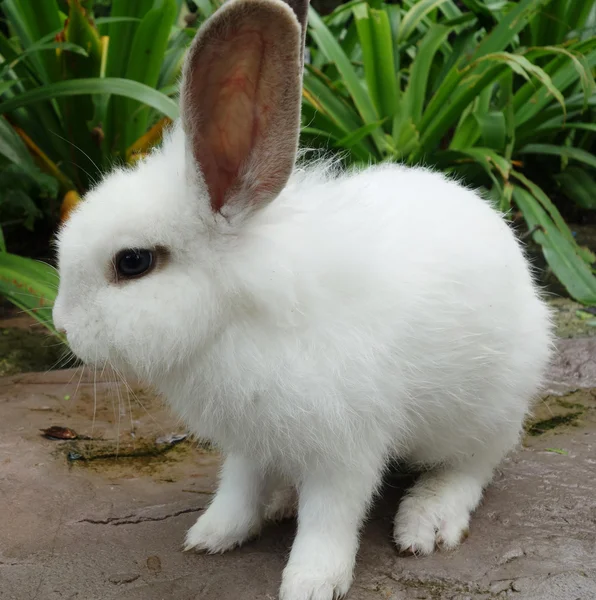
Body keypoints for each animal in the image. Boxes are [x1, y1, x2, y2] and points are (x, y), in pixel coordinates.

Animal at [51, 0, 556, 596]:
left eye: (132, 262)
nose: (61, 325)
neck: (235, 319)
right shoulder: (247, 443)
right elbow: (238, 488)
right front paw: (214, 535)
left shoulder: (344, 448)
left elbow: (330, 518)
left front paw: (310, 582)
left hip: (483, 414)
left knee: (474, 465)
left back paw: (426, 521)